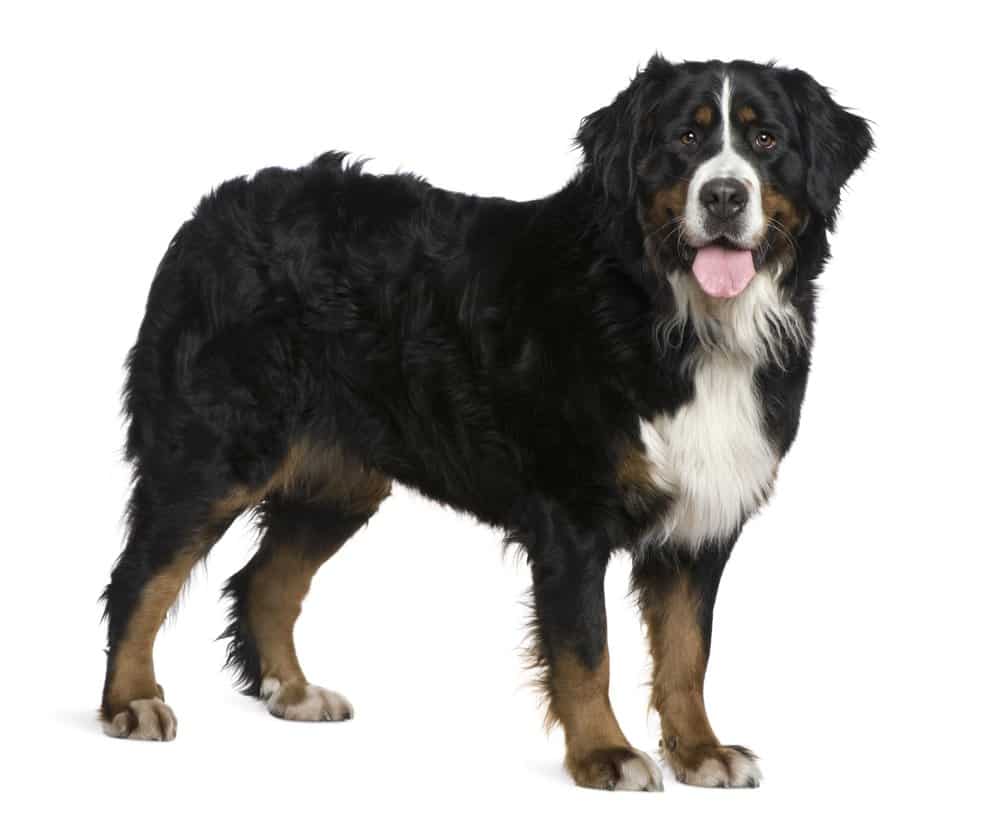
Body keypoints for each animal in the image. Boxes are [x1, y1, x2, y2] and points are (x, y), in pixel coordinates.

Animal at [97, 55, 872, 788]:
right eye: (685, 138)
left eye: (766, 140)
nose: (724, 195)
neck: (676, 318)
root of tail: (212, 211)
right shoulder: (572, 513)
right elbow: (586, 649)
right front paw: (605, 754)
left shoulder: (700, 522)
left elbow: (687, 655)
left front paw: (702, 751)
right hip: (214, 453)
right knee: (140, 576)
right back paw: (131, 700)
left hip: (338, 482)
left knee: (264, 581)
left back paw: (293, 691)